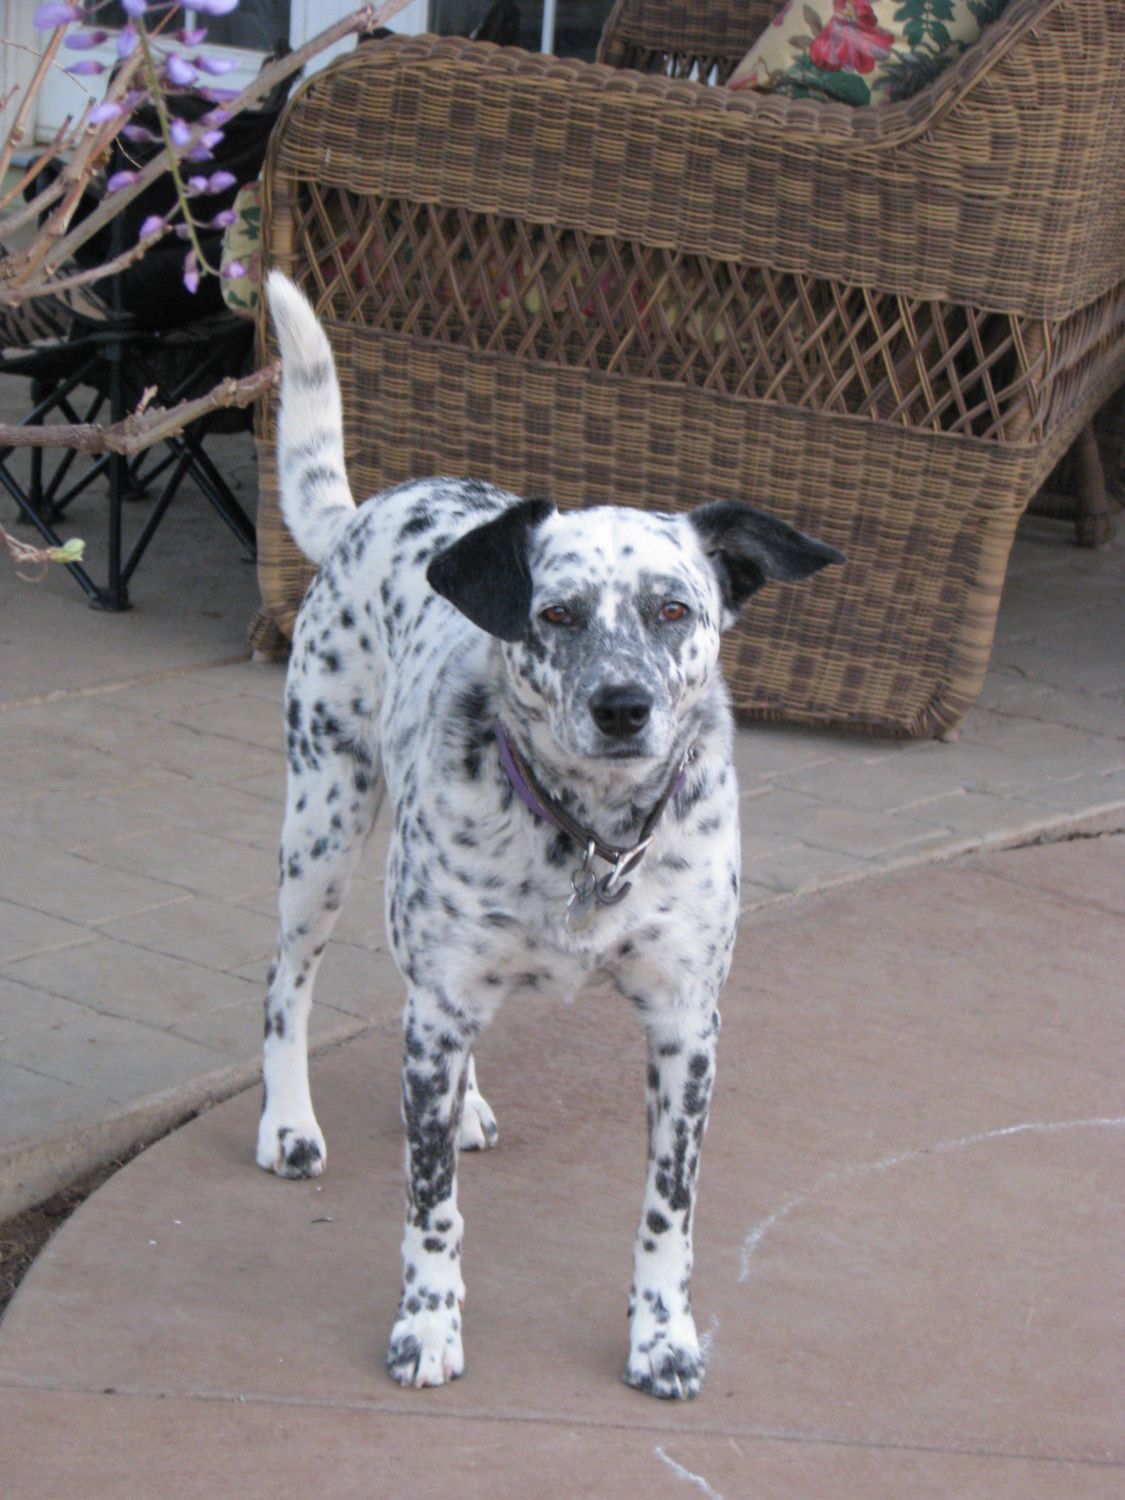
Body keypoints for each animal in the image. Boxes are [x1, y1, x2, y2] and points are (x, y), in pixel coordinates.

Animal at [253, 276, 840, 1398]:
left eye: (672, 609)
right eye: (557, 614)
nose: (622, 707)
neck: (592, 836)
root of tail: (370, 511)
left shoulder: (685, 1029)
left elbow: (667, 1214)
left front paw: (661, 1335)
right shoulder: (435, 1011)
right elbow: (429, 1206)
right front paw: (426, 1325)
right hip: (322, 829)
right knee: (285, 983)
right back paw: (288, 1122)